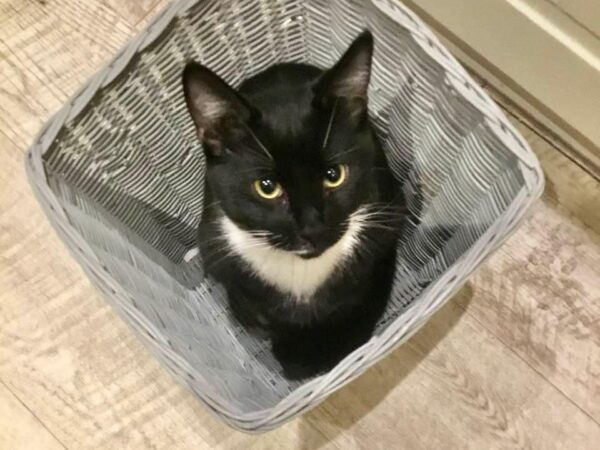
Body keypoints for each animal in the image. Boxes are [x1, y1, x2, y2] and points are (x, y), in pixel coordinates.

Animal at [183, 29, 408, 378]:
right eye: (267, 187)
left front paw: (307, 356)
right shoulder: (218, 249)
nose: (312, 227)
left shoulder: (384, 229)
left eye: (334, 175)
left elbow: (357, 310)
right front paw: (289, 347)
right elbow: (256, 312)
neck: (301, 273)